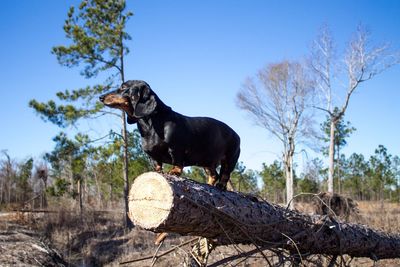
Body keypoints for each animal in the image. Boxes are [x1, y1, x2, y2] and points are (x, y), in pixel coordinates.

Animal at [99, 80, 239, 191]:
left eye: (123, 87)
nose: (100, 97)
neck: (151, 125)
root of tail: (236, 134)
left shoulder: (176, 149)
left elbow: (178, 163)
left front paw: (174, 171)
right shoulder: (152, 156)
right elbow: (157, 166)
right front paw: (159, 172)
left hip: (229, 159)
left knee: (225, 175)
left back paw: (220, 186)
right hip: (207, 162)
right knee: (214, 175)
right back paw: (209, 185)